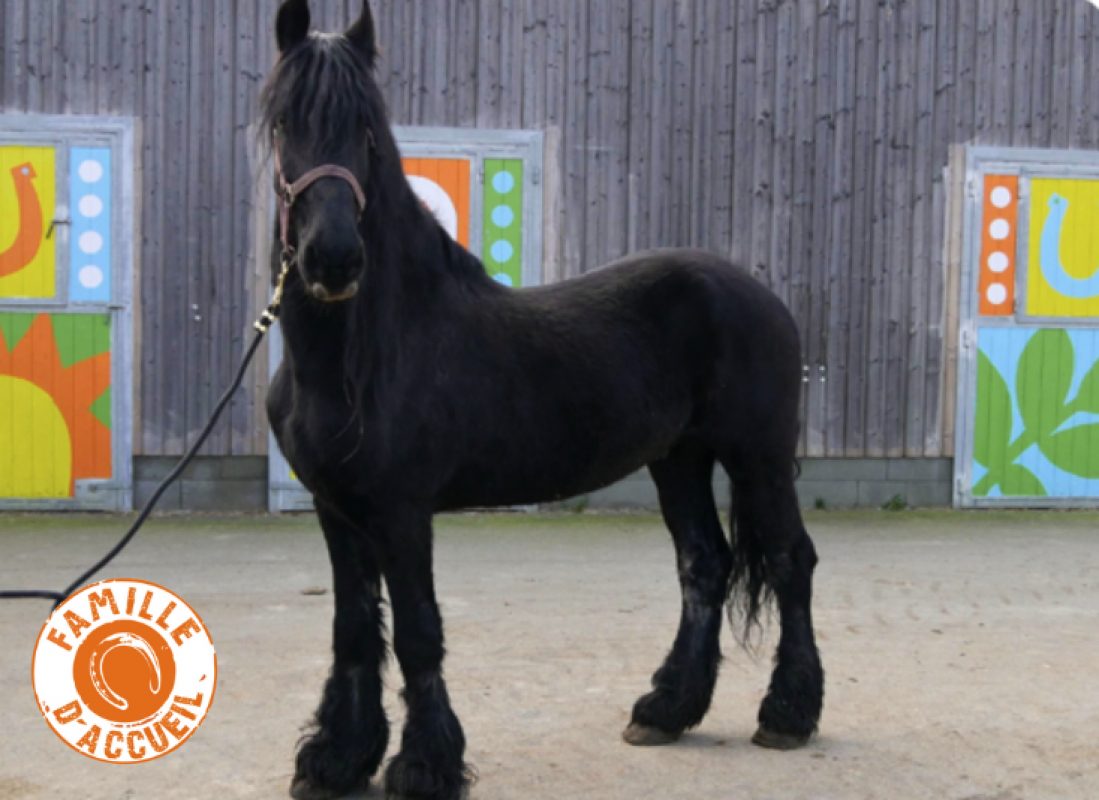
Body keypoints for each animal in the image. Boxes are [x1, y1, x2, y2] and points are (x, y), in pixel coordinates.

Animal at [261, 2, 823, 798]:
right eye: (284, 123)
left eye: (367, 129)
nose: (333, 258)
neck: (356, 357)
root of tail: (760, 295)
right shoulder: (337, 510)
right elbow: (353, 629)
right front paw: (338, 758)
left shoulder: (401, 511)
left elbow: (418, 630)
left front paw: (424, 765)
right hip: (677, 460)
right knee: (703, 566)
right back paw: (665, 709)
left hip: (757, 456)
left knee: (788, 560)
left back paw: (786, 714)